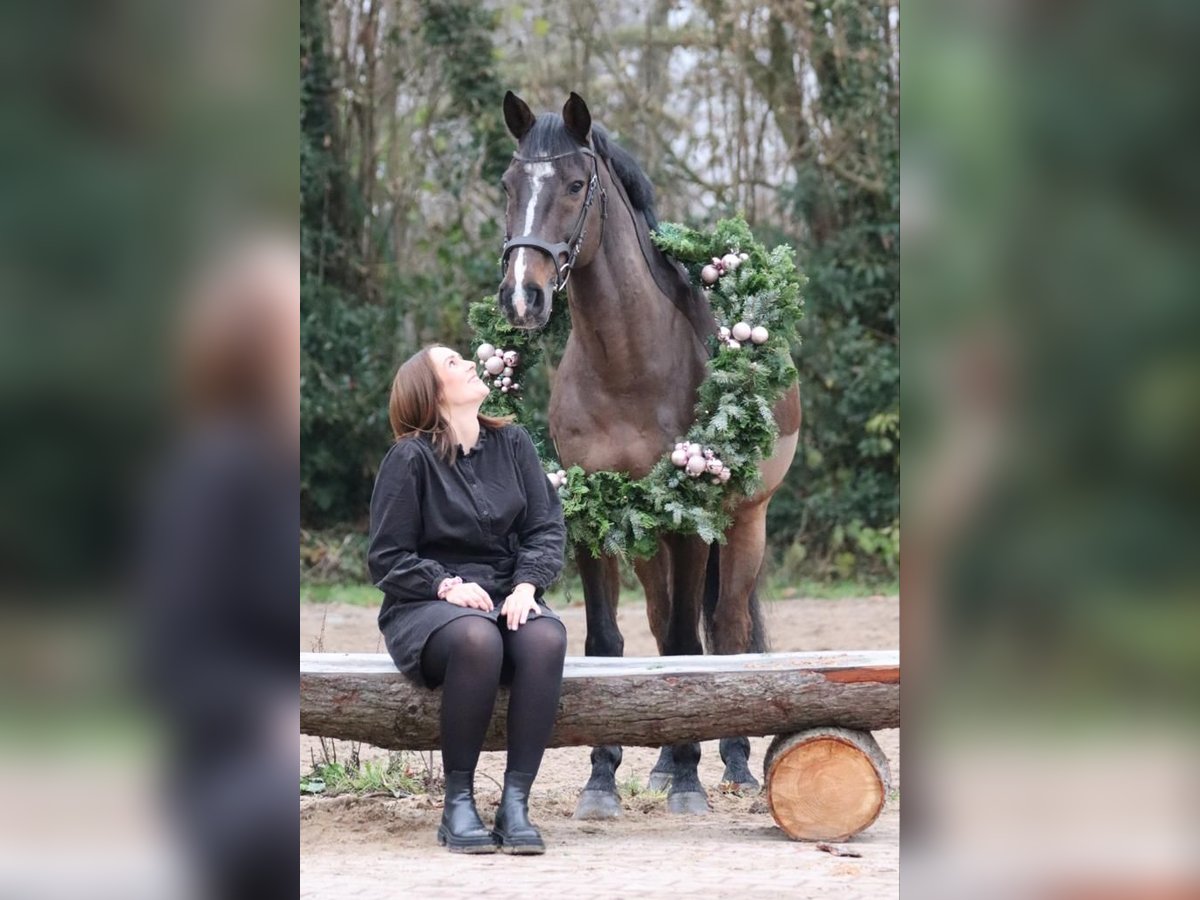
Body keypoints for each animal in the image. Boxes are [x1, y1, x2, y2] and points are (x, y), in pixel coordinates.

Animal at [496, 90, 796, 816]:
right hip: (643, 537)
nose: (522, 297)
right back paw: (660, 765)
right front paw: (602, 779)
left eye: (577, 185)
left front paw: (690, 779)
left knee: (727, 629)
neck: (627, 365)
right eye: (509, 184)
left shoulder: (690, 520)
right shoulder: (588, 513)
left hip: (742, 523)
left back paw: (732, 765)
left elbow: (691, 641)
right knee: (663, 627)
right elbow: (611, 642)